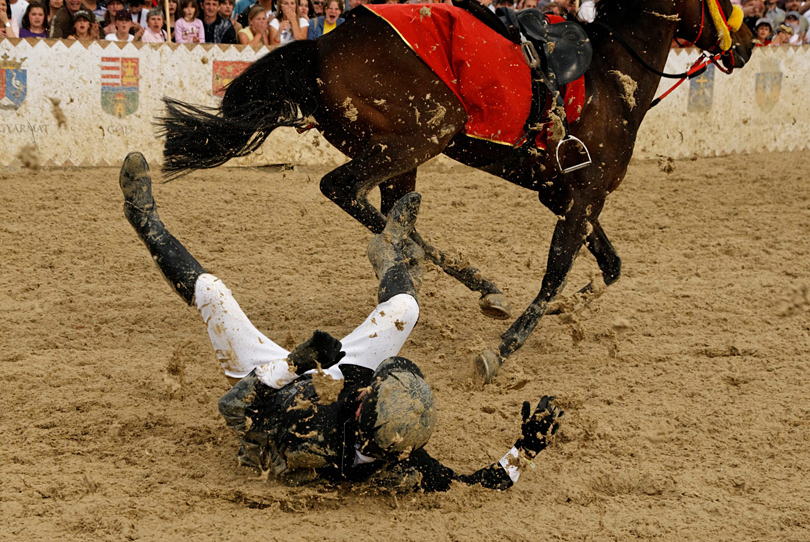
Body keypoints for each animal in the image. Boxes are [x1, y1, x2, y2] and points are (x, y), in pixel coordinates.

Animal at [158, 0, 752, 386]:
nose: (746, 46)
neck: (611, 74)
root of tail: (323, 43)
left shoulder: (570, 198)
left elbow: (608, 266)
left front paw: (566, 311)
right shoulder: (584, 200)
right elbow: (558, 272)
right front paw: (502, 351)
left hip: (405, 153)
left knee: (390, 213)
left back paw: (462, 278)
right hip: (426, 134)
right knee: (343, 189)